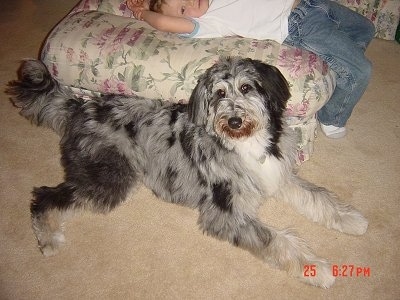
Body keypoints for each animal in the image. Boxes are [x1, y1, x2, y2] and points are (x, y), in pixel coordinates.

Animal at [7, 56, 368, 288]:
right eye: (219, 94)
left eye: (247, 88)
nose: (233, 120)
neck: (244, 143)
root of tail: (81, 105)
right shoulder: (224, 213)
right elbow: (278, 239)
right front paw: (317, 269)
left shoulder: (278, 175)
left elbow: (319, 197)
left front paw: (352, 220)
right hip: (109, 177)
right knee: (44, 196)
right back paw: (49, 239)